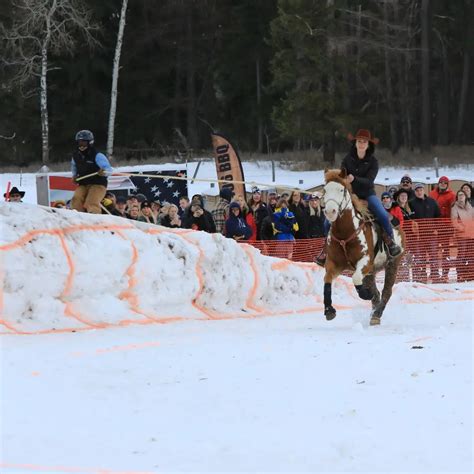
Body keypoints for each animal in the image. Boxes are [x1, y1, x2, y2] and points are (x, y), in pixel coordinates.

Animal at [322, 169, 404, 326]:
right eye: (325, 190)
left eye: (341, 190)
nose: (330, 211)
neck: (345, 233)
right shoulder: (333, 263)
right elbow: (327, 280)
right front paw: (329, 310)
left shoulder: (365, 262)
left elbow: (355, 278)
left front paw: (365, 295)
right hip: (371, 272)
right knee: (377, 293)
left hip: (393, 264)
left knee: (386, 291)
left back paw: (376, 314)